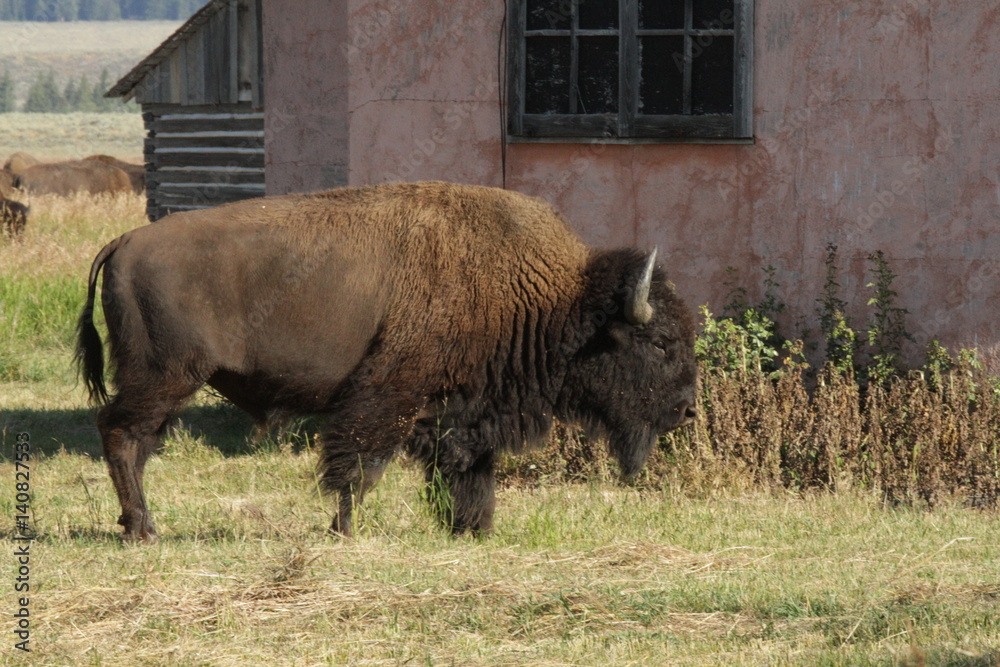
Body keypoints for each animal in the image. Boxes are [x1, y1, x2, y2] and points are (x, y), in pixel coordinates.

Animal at [77, 182, 698, 542]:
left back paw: (139, 525)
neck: (548, 297)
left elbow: (467, 469)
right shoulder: (386, 396)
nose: (686, 410)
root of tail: (124, 241)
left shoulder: (463, 411)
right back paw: (142, 530)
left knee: (136, 442)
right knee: (121, 435)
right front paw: (344, 531)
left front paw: (471, 528)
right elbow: (360, 467)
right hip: (164, 377)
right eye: (661, 342)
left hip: (165, 385)